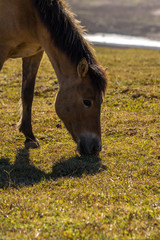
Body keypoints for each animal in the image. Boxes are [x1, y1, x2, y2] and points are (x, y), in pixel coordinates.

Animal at [0, 0, 107, 155]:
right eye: (87, 102)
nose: (96, 147)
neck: (29, 13)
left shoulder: (34, 53)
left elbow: (27, 94)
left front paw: (29, 137)